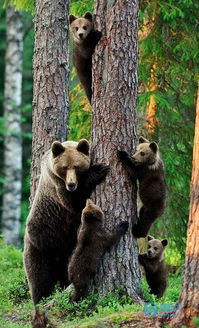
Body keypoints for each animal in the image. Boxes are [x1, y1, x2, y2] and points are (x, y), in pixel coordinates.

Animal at [24, 140, 109, 308]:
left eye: (76, 166)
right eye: (64, 168)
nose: (71, 184)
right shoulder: (57, 185)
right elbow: (76, 203)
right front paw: (97, 171)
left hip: (66, 250)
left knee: (65, 273)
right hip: (40, 246)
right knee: (39, 279)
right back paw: (41, 301)